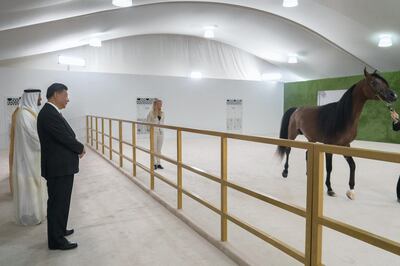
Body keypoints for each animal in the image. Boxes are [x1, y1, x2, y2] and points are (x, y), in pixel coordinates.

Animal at [278, 68, 396, 200]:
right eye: (373, 82)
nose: (394, 95)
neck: (342, 117)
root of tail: (297, 109)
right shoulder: (328, 146)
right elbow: (329, 168)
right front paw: (330, 189)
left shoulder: (345, 145)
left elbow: (353, 165)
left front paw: (351, 190)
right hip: (292, 135)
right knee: (288, 150)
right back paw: (285, 172)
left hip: (311, 139)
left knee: (307, 153)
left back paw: (308, 173)